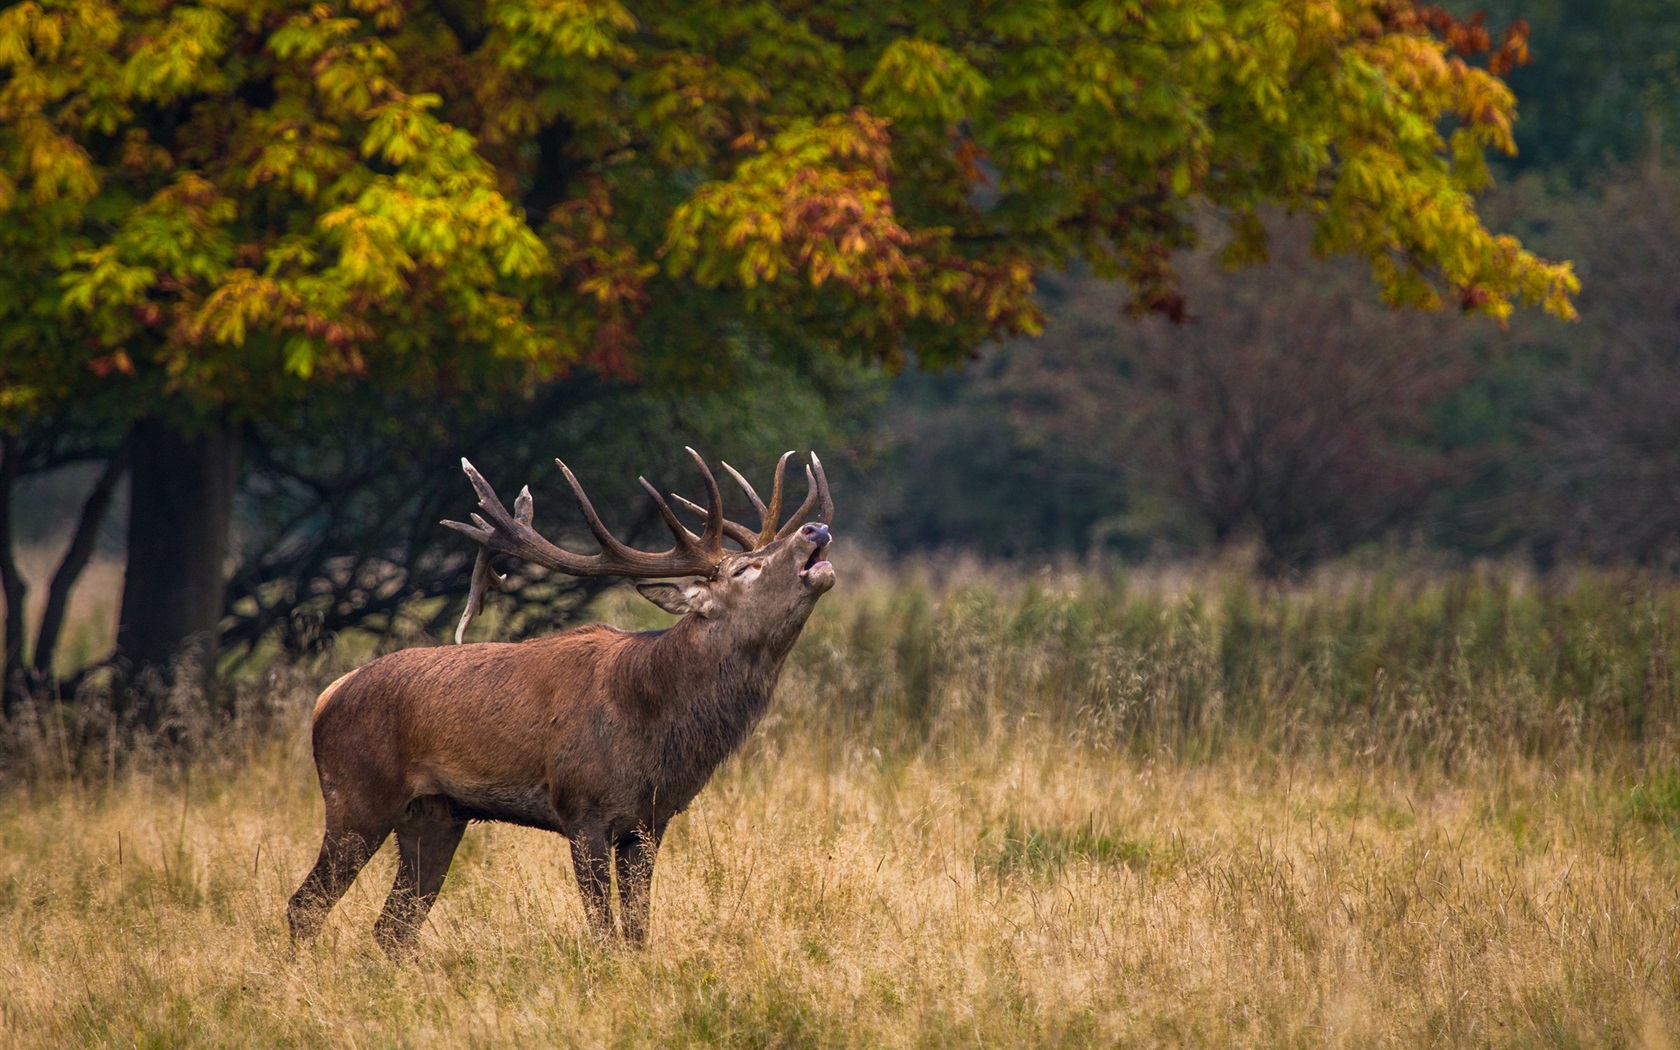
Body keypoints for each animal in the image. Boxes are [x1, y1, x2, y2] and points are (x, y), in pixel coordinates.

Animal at [286, 448, 834, 954]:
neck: (654, 723)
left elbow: (638, 933)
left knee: (392, 929)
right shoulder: (582, 808)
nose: (816, 529)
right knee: (305, 906)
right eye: (746, 569)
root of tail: (326, 697)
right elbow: (604, 934)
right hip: (356, 795)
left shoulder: (649, 822)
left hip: (434, 816)